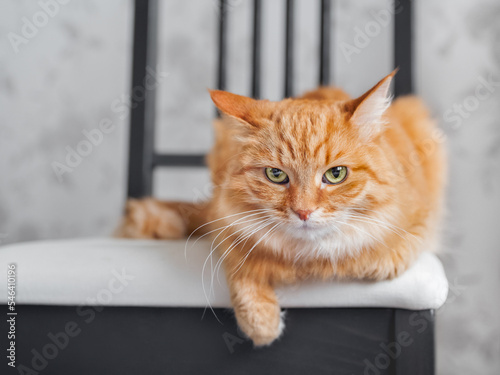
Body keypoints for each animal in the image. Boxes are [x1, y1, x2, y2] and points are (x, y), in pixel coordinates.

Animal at [117, 72, 446, 348]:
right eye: (276, 175)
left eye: (336, 174)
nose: (303, 212)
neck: (309, 260)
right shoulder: (225, 224)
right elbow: (242, 267)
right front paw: (261, 322)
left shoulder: (421, 217)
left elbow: (398, 247)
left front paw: (377, 260)